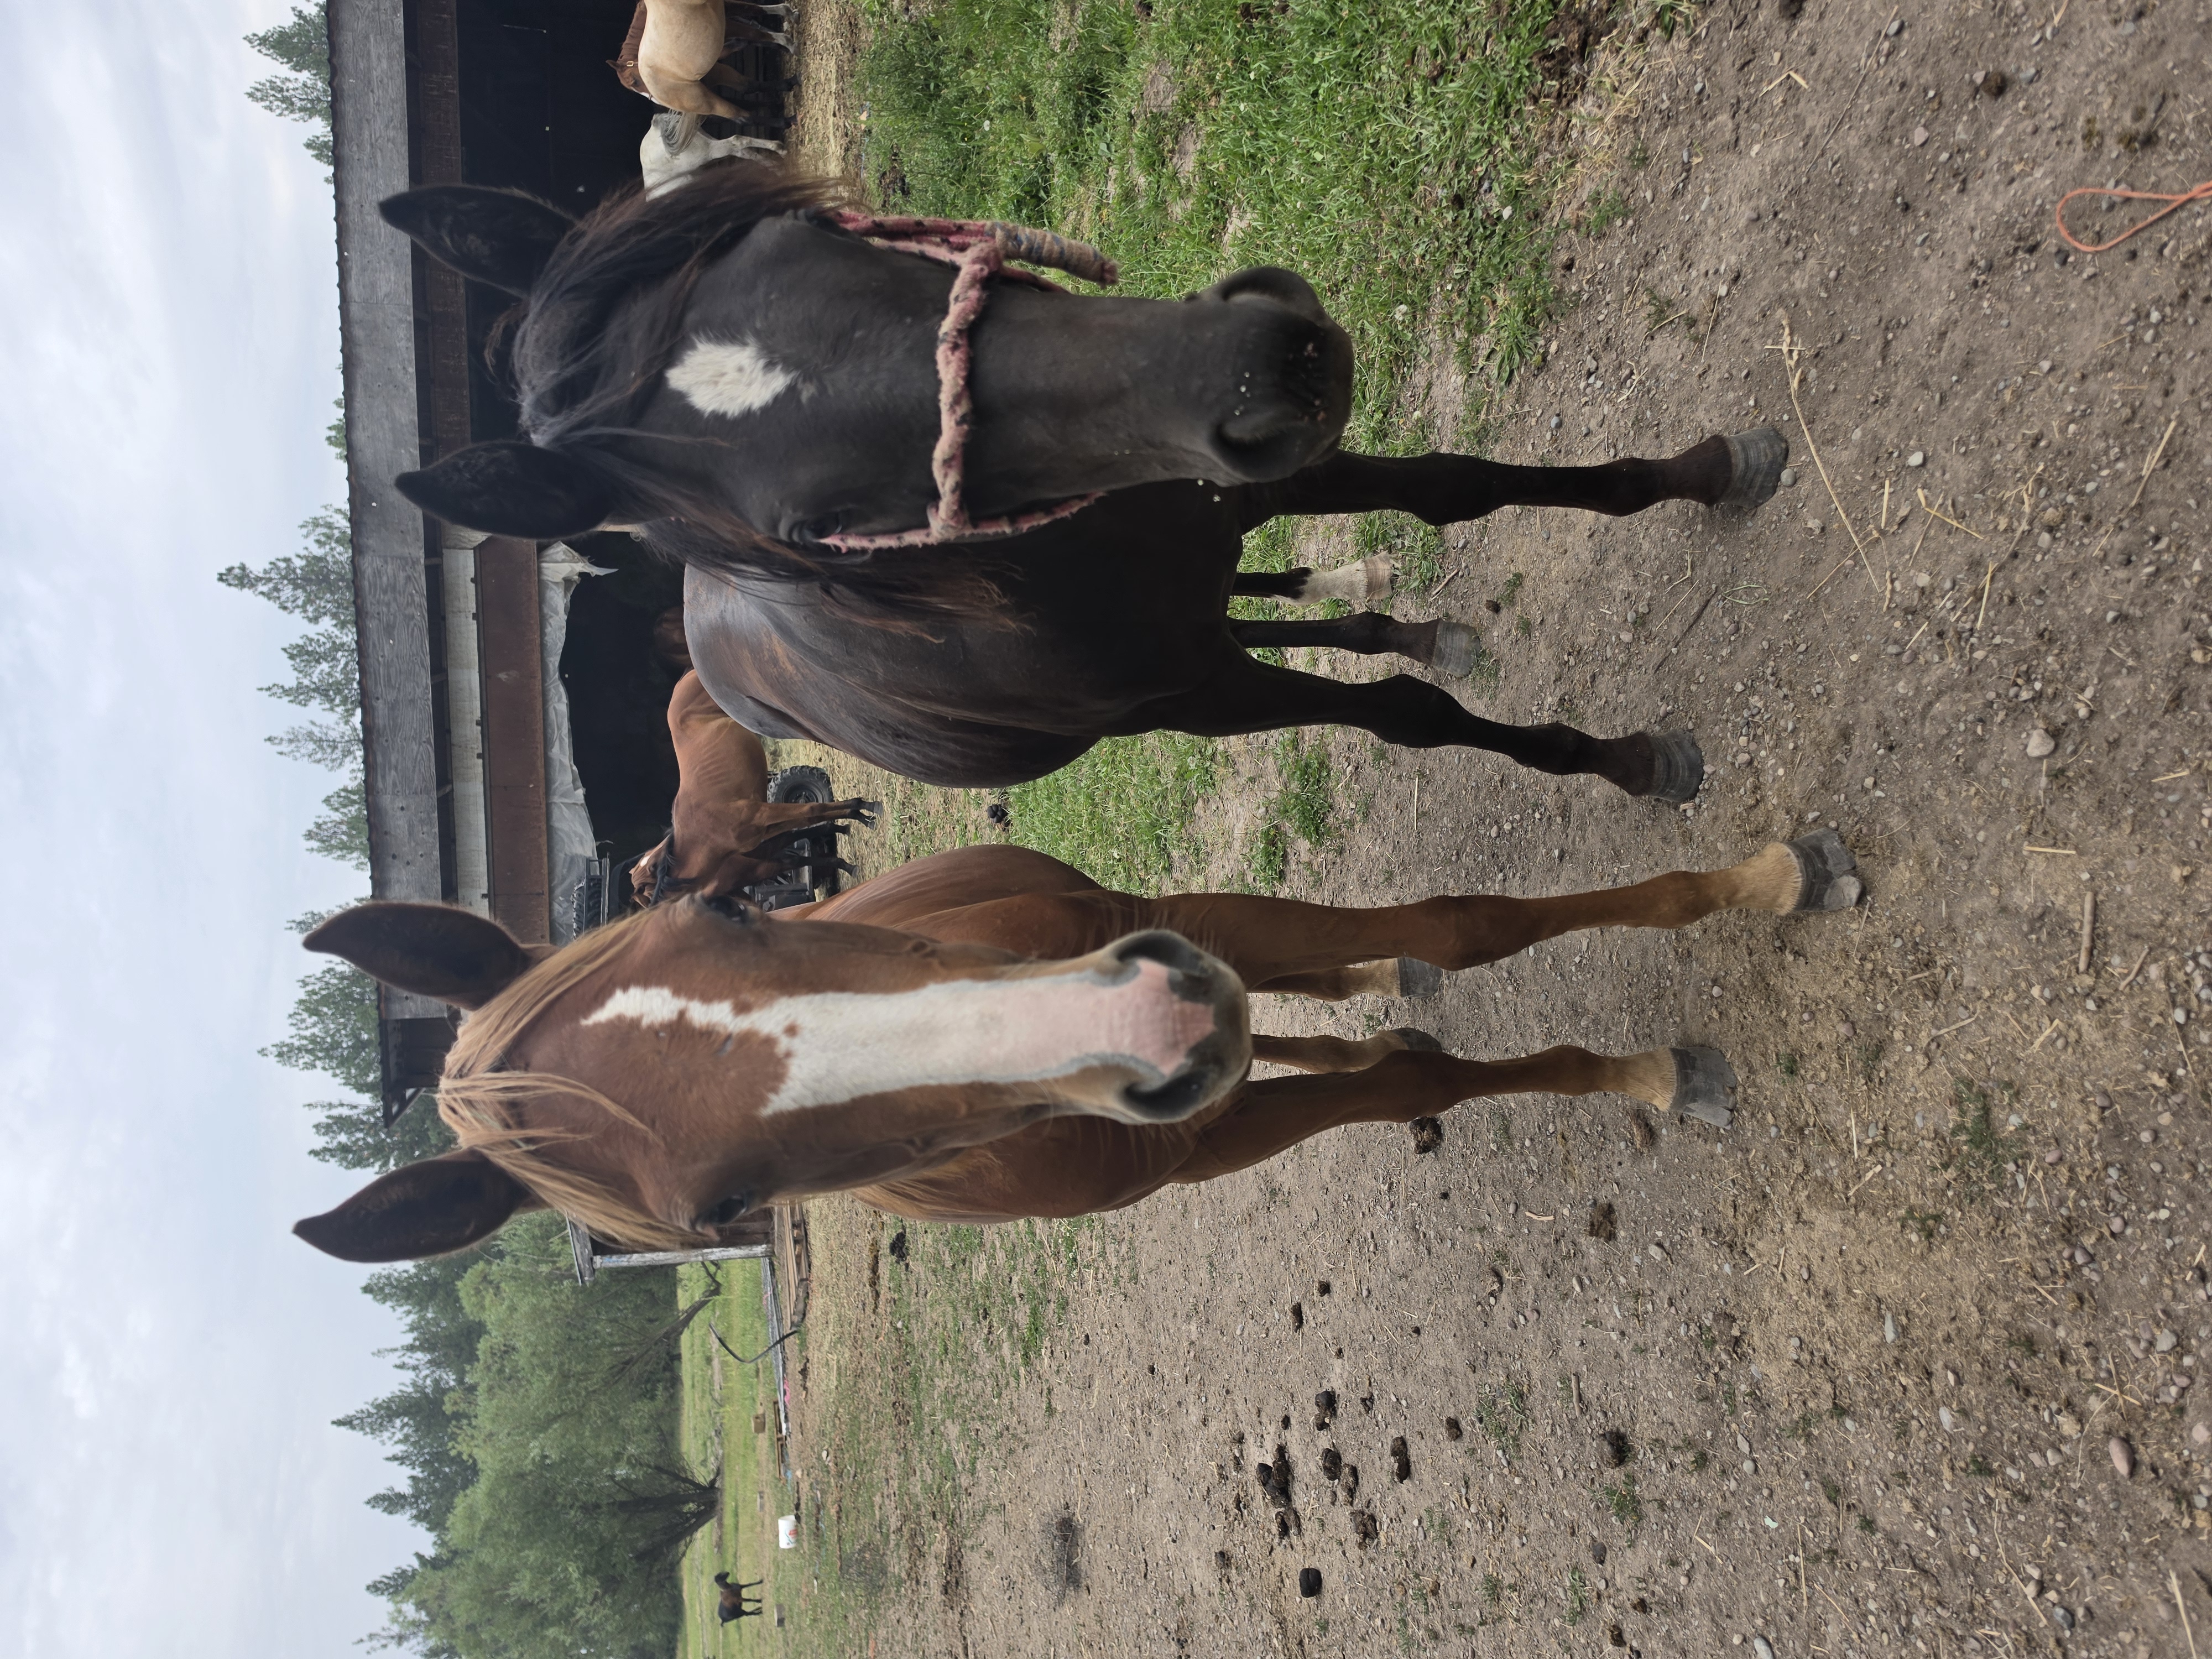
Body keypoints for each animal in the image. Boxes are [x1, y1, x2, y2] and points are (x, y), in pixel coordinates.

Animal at [288, 829, 1861, 1263]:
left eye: (726, 903)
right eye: (724, 1208)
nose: (1150, 1024)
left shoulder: (1160, 923)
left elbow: (1460, 922)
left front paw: (1759, 881)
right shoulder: (1192, 1139)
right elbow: (1411, 1072)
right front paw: (1642, 1071)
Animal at [375, 167, 1788, 801]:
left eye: (796, 230)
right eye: (820, 528)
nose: (1261, 364)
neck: (1070, 554)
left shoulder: (1236, 489)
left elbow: (1457, 485)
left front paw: (1703, 471)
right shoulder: (1202, 696)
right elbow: (1408, 718)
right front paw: (1615, 759)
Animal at [628, 669, 879, 903]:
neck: (705, 834)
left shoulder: (762, 812)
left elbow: (813, 809)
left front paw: (864, 808)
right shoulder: (767, 829)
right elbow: (810, 823)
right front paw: (855, 821)